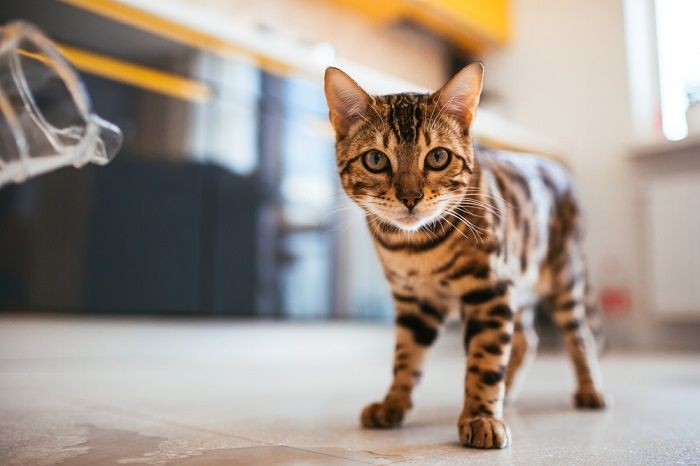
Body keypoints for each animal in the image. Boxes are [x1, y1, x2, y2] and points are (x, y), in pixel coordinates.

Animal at [326, 62, 604, 448]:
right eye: (376, 159)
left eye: (438, 156)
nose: (410, 197)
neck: (415, 249)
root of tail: (559, 169)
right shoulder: (415, 301)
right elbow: (406, 357)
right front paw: (393, 404)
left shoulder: (490, 290)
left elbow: (485, 360)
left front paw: (481, 417)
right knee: (527, 339)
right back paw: (509, 391)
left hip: (564, 276)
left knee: (579, 336)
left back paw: (589, 390)